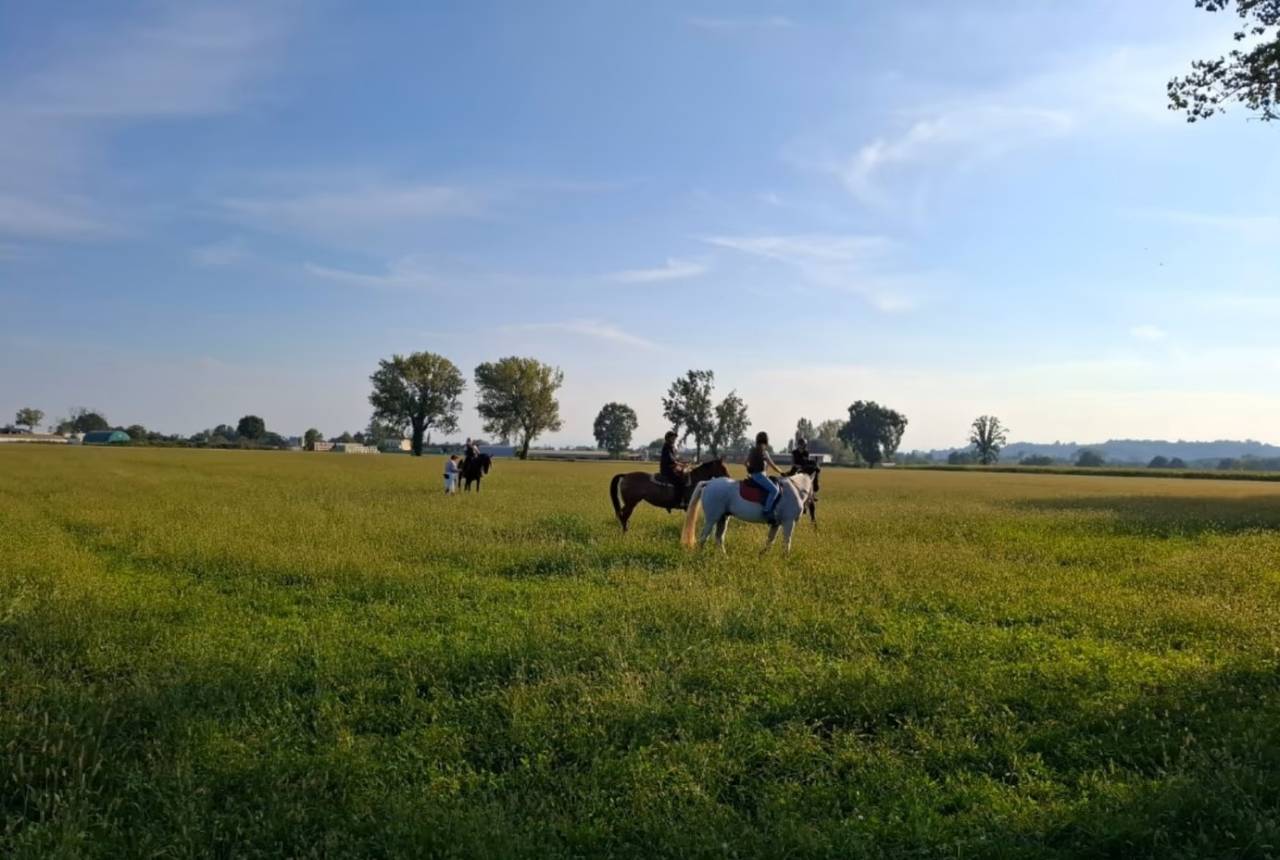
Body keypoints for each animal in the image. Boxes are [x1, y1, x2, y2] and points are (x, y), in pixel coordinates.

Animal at [680, 473, 815, 555]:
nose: (813, 501)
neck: (795, 489)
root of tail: (709, 483)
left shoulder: (776, 524)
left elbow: (770, 540)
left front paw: (762, 555)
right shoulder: (788, 523)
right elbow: (786, 541)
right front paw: (785, 558)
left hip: (723, 518)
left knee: (719, 537)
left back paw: (724, 557)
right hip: (711, 519)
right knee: (704, 537)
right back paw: (700, 555)